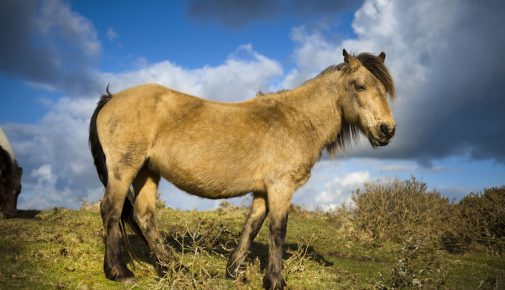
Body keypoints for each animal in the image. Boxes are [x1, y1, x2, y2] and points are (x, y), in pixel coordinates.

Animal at [88, 49, 396, 288]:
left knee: (144, 216)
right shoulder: (281, 187)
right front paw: (275, 281)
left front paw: (234, 271)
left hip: (147, 172)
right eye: (359, 86)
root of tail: (112, 98)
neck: (296, 120)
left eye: (385, 90)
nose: (387, 130)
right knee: (111, 210)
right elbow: (277, 230)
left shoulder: (264, 190)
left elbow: (252, 226)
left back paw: (172, 268)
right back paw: (119, 272)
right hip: (125, 170)